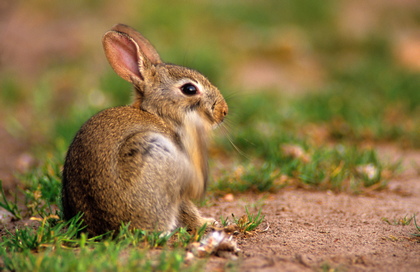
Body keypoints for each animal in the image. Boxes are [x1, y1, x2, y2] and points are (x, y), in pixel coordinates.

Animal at [60, 23, 228, 236]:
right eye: (189, 89)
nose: (223, 111)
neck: (160, 115)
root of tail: (111, 229)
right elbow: (187, 207)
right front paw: (208, 222)